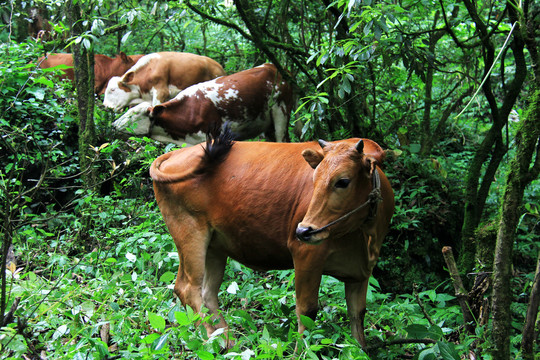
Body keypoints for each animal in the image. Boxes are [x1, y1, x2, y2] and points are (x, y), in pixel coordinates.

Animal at [150, 131, 394, 346]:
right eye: (314, 179)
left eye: (343, 181)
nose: (304, 231)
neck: (363, 236)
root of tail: (177, 153)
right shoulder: (306, 254)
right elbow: (307, 310)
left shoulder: (361, 271)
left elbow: (357, 314)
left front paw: (360, 349)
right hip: (189, 232)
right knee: (187, 288)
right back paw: (218, 341)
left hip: (214, 246)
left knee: (207, 292)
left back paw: (228, 341)